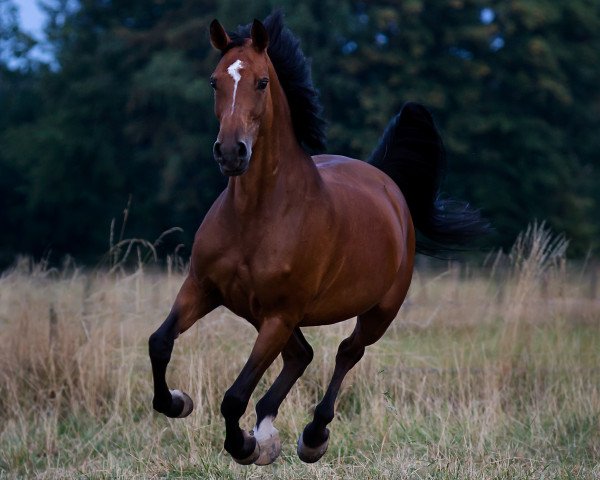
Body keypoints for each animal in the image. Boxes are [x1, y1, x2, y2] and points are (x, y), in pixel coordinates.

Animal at [149, 12, 488, 464]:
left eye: (262, 81)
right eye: (214, 81)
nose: (231, 152)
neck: (257, 215)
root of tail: (385, 181)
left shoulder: (279, 315)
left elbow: (234, 397)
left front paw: (244, 446)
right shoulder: (203, 288)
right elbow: (160, 343)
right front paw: (178, 402)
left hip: (377, 312)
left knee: (346, 352)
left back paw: (311, 436)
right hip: (258, 311)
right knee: (302, 354)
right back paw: (269, 430)